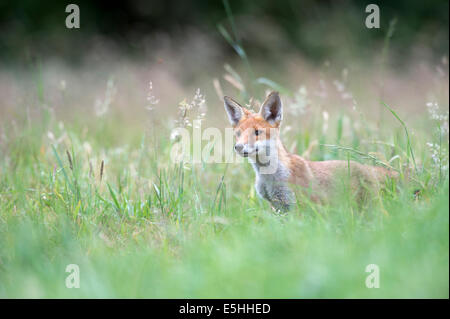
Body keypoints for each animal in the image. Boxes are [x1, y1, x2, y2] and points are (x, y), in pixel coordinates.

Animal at [225, 92, 398, 212]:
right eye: (238, 134)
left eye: (257, 132)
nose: (238, 147)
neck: (269, 178)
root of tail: (368, 168)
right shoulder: (277, 205)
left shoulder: (297, 205)